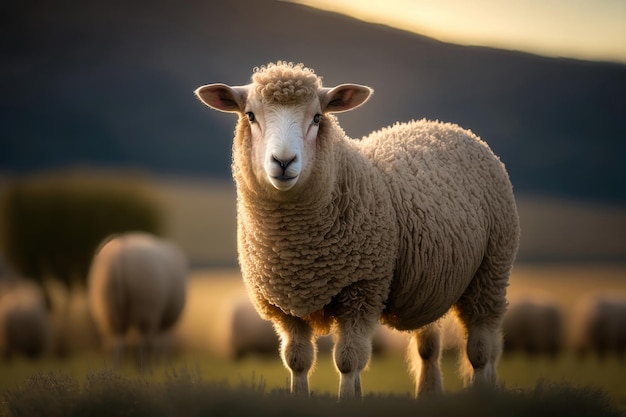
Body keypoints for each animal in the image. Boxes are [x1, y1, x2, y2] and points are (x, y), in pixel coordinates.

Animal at [86, 232, 186, 366]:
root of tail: (120, 254)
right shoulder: (165, 319)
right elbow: (160, 341)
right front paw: (160, 362)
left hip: (108, 308)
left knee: (117, 341)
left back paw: (117, 366)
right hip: (145, 307)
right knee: (142, 342)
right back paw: (143, 365)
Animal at [195, 61, 516, 396]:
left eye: (317, 117)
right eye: (250, 115)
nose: (283, 161)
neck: (298, 252)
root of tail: (442, 125)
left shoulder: (363, 288)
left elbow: (348, 362)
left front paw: (350, 397)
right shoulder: (285, 304)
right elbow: (297, 361)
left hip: (491, 269)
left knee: (483, 350)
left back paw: (483, 389)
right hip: (432, 283)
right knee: (428, 346)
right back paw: (428, 392)